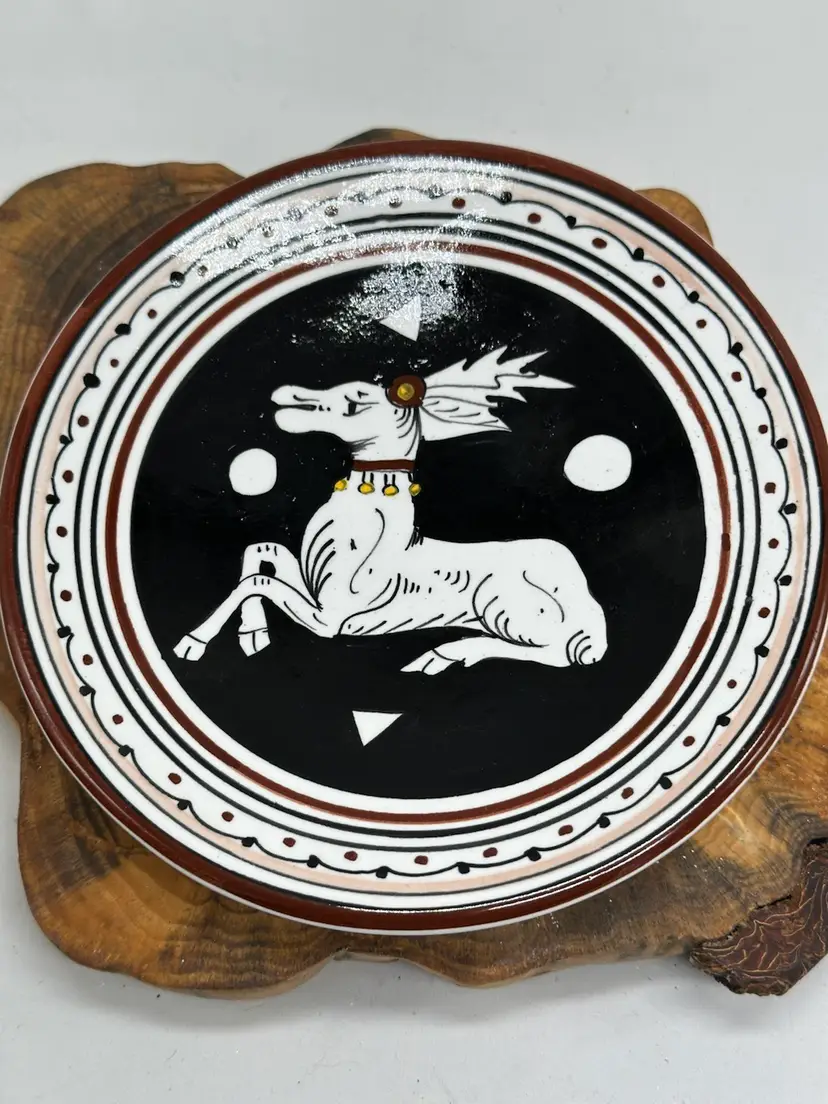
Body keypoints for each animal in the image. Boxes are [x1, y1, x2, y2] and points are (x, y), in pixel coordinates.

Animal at [174, 348, 607, 675]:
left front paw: (193, 642)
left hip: (501, 603)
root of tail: (588, 601)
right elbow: (260, 552)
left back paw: (445, 654)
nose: (287, 394)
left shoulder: (332, 618)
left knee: (560, 652)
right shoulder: (313, 590)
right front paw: (253, 635)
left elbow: (257, 582)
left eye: (358, 397)